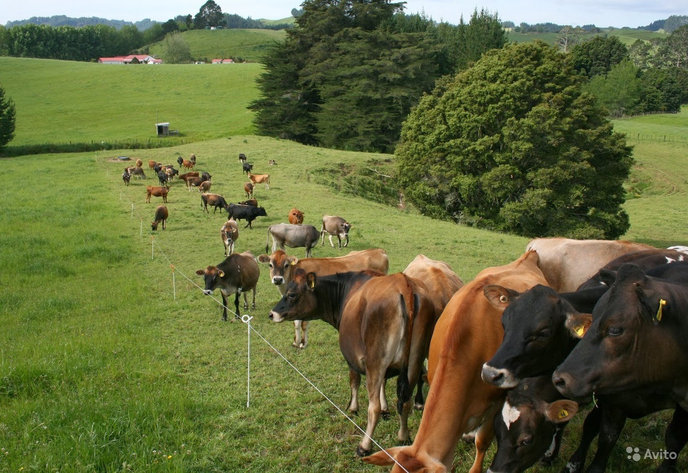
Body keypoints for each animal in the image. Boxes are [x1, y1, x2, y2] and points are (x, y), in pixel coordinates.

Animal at [258, 249, 390, 348]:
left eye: (286, 265)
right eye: (270, 265)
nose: (277, 279)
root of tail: (378, 250)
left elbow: (303, 324)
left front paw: (303, 343)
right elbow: (296, 323)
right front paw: (296, 341)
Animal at [268, 270, 436, 458]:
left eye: (291, 294)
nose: (272, 313)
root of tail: (403, 283)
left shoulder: (353, 359)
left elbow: (354, 382)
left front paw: (353, 408)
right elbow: (384, 384)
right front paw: (386, 409)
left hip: (375, 362)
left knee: (373, 408)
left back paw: (364, 446)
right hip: (414, 361)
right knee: (405, 401)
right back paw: (403, 437)